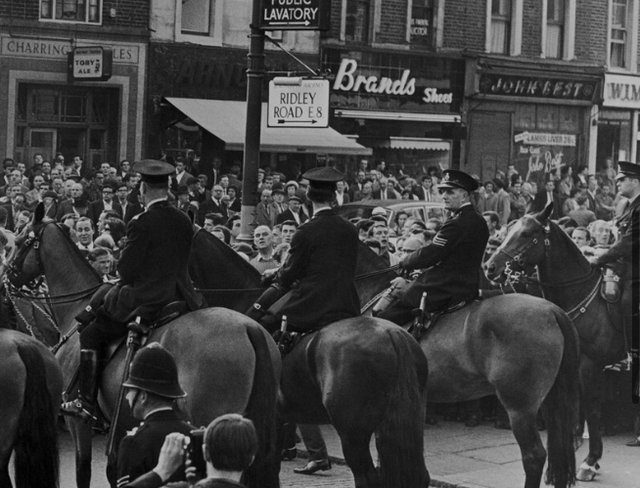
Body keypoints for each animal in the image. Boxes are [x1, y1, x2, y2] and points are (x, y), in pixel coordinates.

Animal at [484, 204, 624, 482]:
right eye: (508, 230)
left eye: (527, 234)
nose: (491, 268)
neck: (582, 293)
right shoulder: (573, 365)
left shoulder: (590, 365)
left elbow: (592, 408)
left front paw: (590, 461)